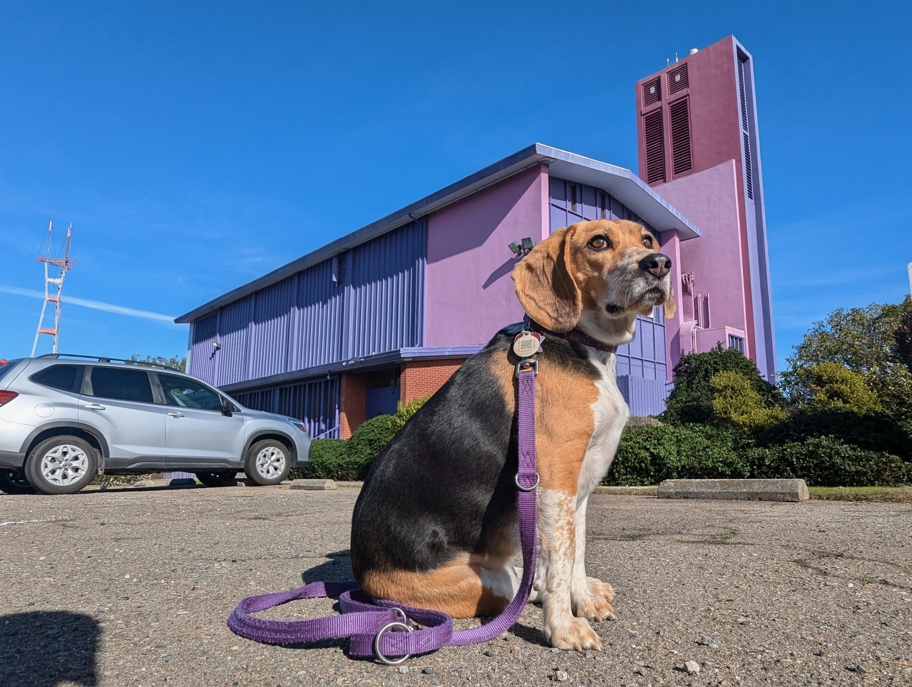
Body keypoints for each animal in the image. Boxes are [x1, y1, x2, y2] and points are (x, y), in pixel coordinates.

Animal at [352, 220, 672, 652]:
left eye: (647, 240)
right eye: (598, 242)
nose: (659, 263)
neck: (581, 344)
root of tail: (364, 579)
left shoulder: (579, 485)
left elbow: (577, 550)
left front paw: (584, 600)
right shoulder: (555, 480)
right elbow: (561, 561)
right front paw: (564, 626)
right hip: (491, 582)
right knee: (524, 584)